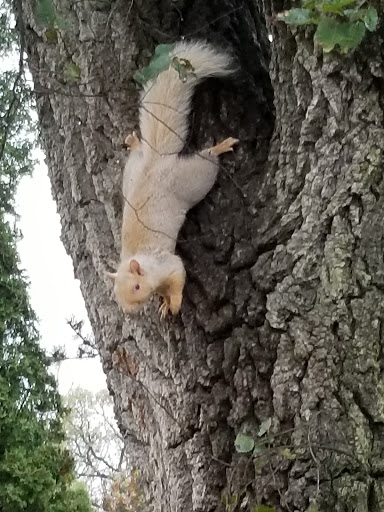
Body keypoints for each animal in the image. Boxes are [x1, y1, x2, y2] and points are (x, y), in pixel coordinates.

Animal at [107, 42, 237, 318]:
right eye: (117, 296)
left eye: (136, 286)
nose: (130, 311)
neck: (144, 264)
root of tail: (155, 161)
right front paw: (165, 303)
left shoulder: (167, 264)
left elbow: (178, 276)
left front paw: (175, 304)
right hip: (130, 173)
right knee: (137, 154)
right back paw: (135, 143)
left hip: (192, 179)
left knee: (207, 163)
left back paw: (219, 148)